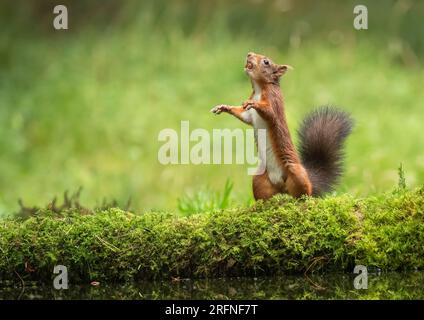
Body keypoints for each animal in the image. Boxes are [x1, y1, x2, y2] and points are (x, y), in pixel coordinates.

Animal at [210, 52, 352, 200]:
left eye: (266, 62)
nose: (249, 54)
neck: (259, 89)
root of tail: (282, 187)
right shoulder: (248, 114)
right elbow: (244, 116)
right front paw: (224, 107)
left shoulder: (274, 100)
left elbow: (269, 113)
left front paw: (255, 104)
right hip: (259, 179)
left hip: (296, 173)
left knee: (305, 190)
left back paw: (305, 198)